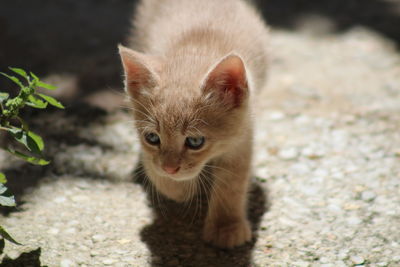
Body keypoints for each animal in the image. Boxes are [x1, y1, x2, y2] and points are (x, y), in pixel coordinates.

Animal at [119, 0, 268, 249]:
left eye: (195, 141)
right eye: (152, 137)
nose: (170, 168)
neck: (195, 49)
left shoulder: (242, 135)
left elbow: (232, 182)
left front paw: (226, 227)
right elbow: (159, 173)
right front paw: (179, 188)